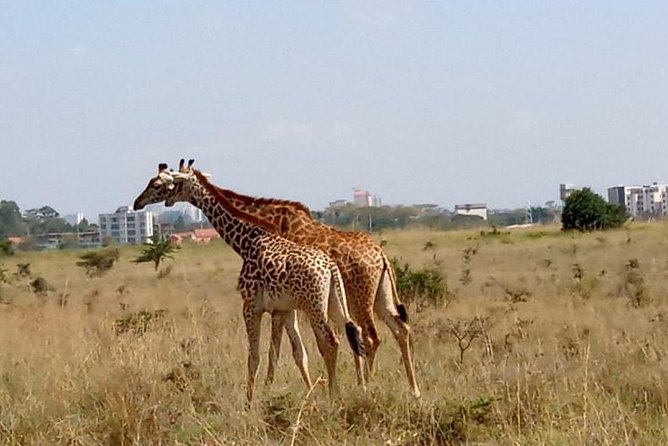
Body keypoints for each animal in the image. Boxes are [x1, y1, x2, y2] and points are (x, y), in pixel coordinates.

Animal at [133, 160, 366, 404]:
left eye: (160, 183)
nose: (138, 203)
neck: (246, 241)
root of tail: (330, 267)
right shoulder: (283, 308)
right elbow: (295, 353)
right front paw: (302, 395)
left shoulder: (251, 306)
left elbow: (254, 356)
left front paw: (250, 402)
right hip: (335, 302)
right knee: (353, 331)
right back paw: (356, 388)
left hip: (315, 307)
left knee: (330, 341)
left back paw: (334, 394)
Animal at [175, 163, 420, 398]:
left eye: (173, 180)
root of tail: (381, 255)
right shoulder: (286, 304)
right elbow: (295, 350)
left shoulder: (279, 304)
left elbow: (279, 349)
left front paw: (270, 390)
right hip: (380, 296)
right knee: (398, 329)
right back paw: (412, 390)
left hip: (359, 300)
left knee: (368, 338)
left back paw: (365, 387)